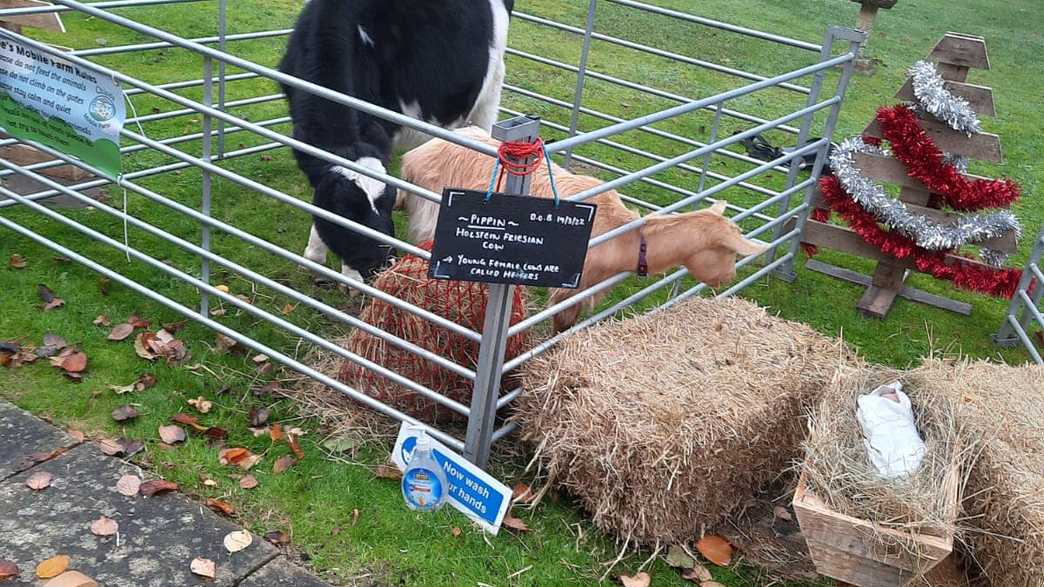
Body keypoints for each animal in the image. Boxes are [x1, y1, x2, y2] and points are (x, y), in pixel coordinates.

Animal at [279, 0, 511, 286]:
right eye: (346, 211)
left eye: (386, 203)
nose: (383, 264)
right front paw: (315, 256)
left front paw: (349, 277)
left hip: (491, 87)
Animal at [398, 126, 768, 332]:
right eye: (729, 252)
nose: (729, 278)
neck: (622, 234)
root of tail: (412, 158)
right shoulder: (569, 289)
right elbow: (561, 328)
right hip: (432, 220)